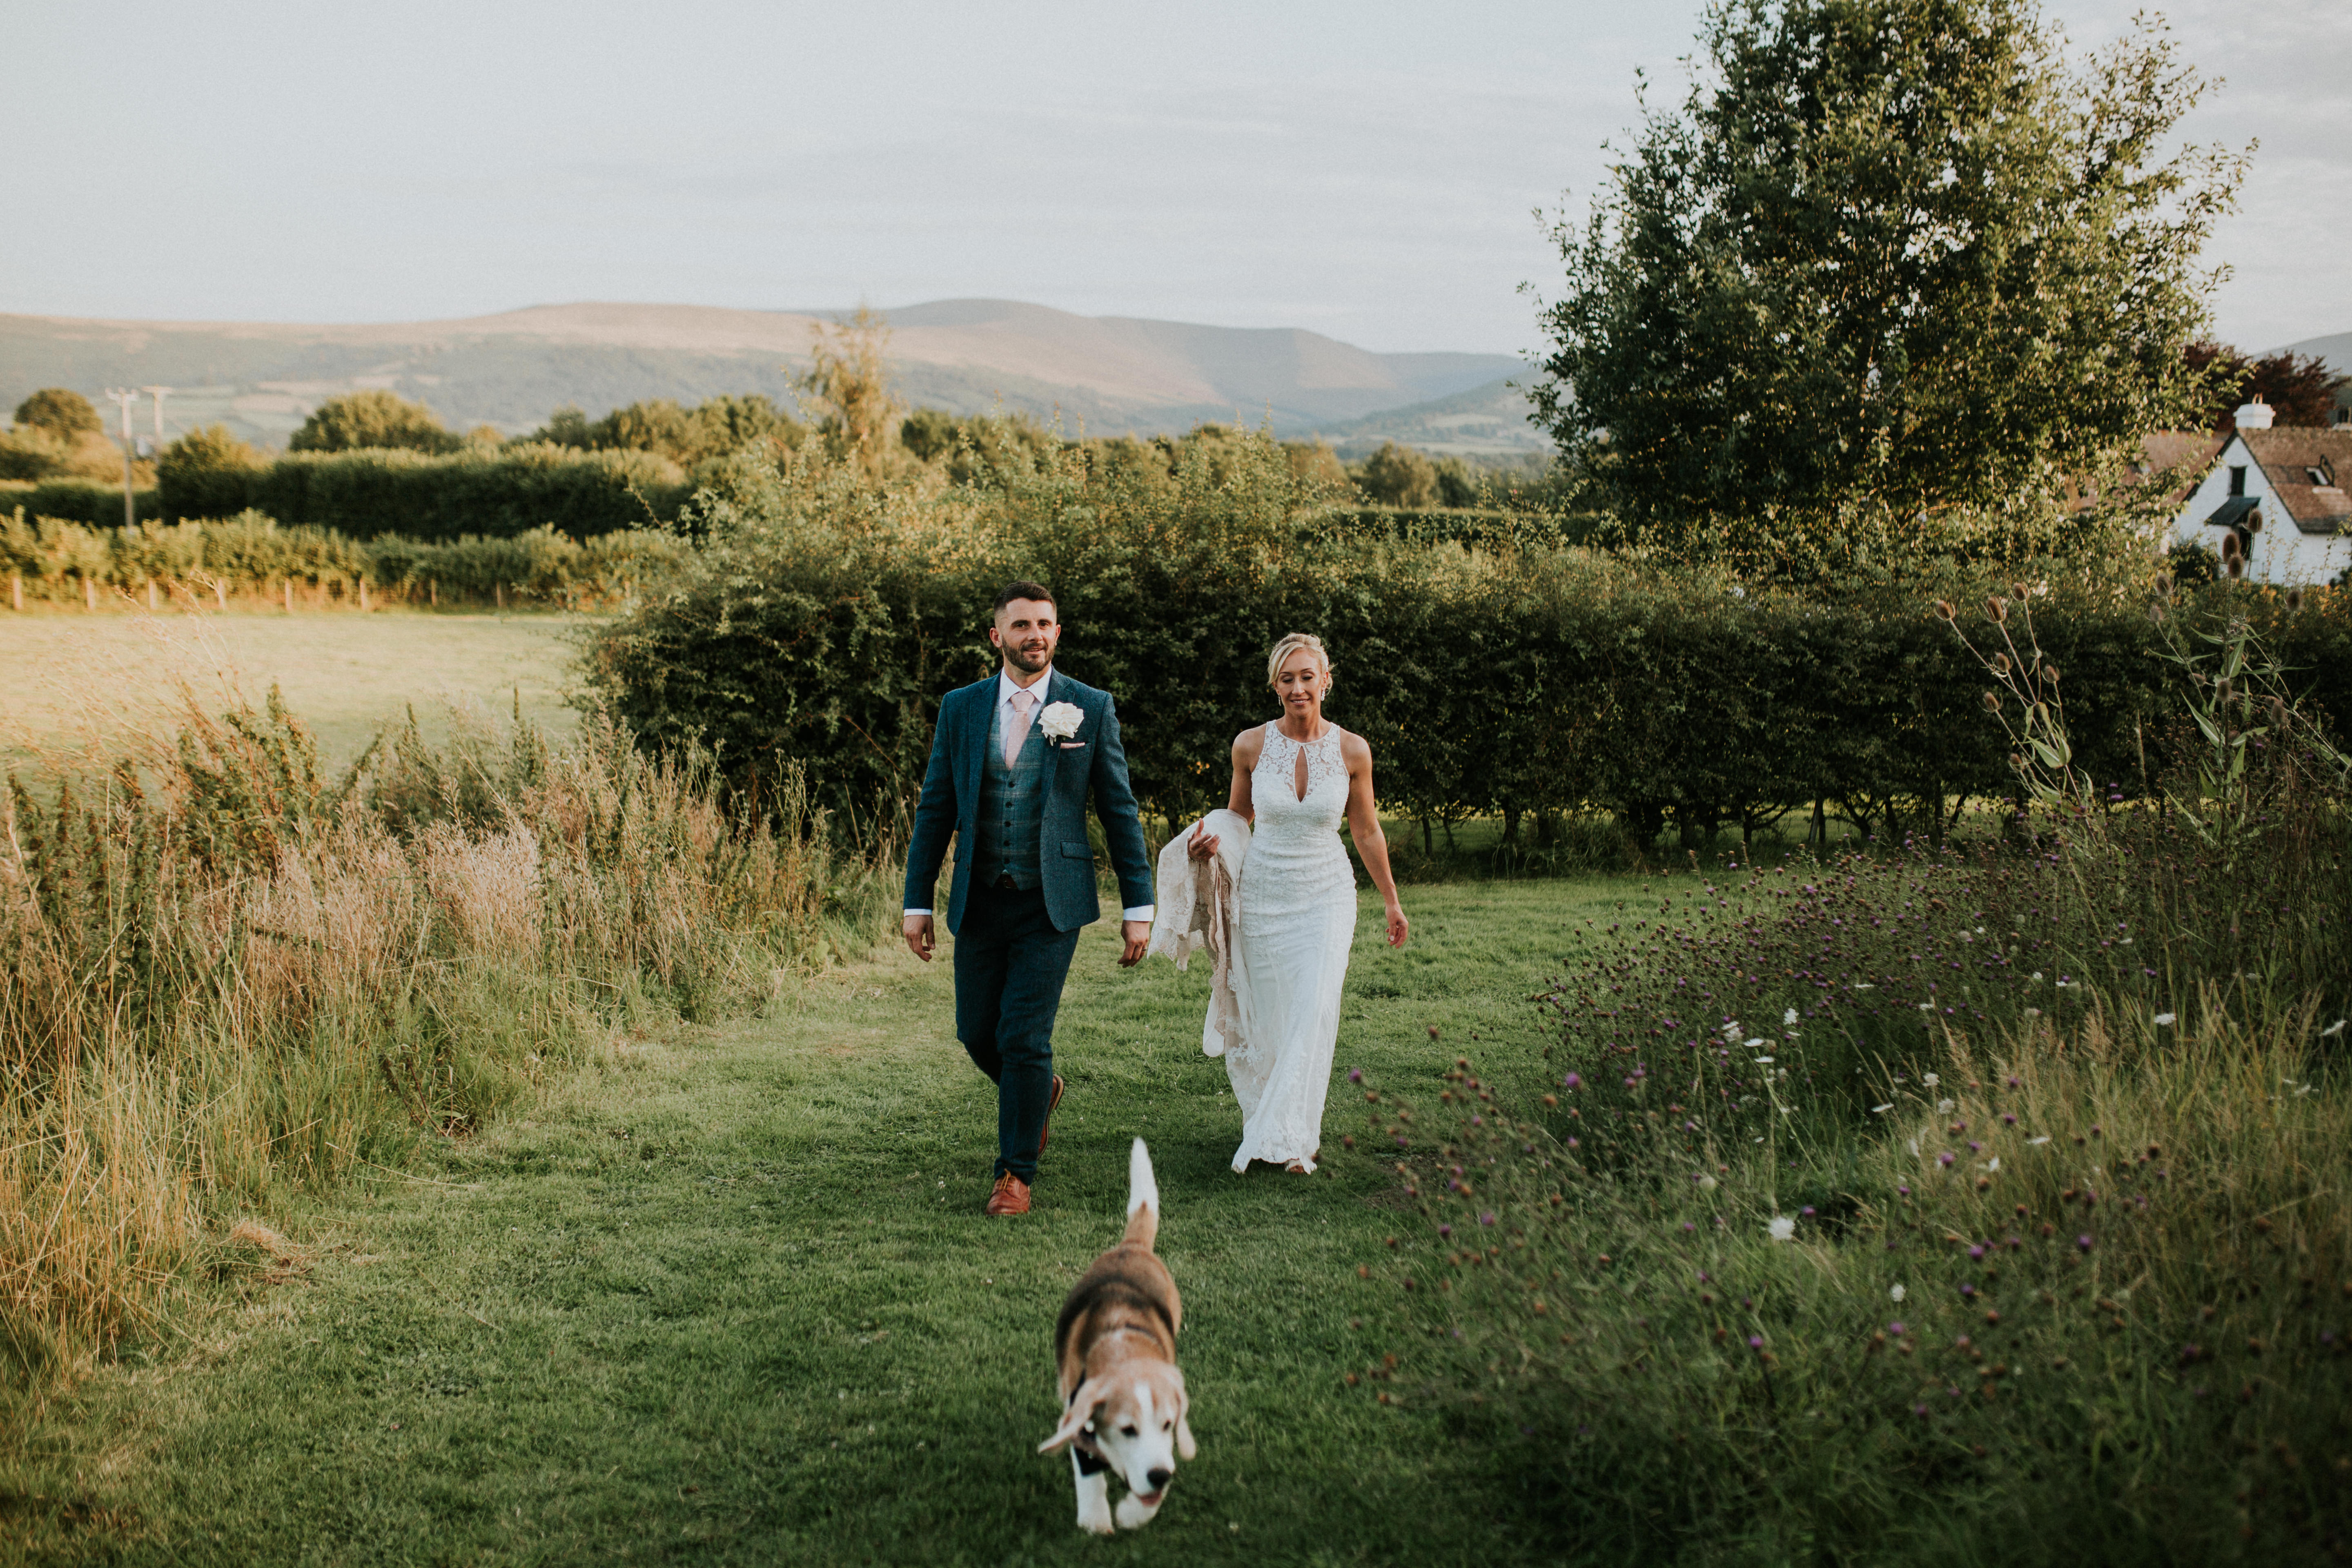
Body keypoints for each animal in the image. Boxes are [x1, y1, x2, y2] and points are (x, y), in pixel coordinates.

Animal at [1044, 1142, 1195, 1532]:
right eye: (1127, 1430)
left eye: (1168, 1424)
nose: (1160, 1476)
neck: (1123, 1345)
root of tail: (1133, 1247)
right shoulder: (1080, 1416)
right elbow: (1089, 1475)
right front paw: (1095, 1522)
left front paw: (1134, 1513)